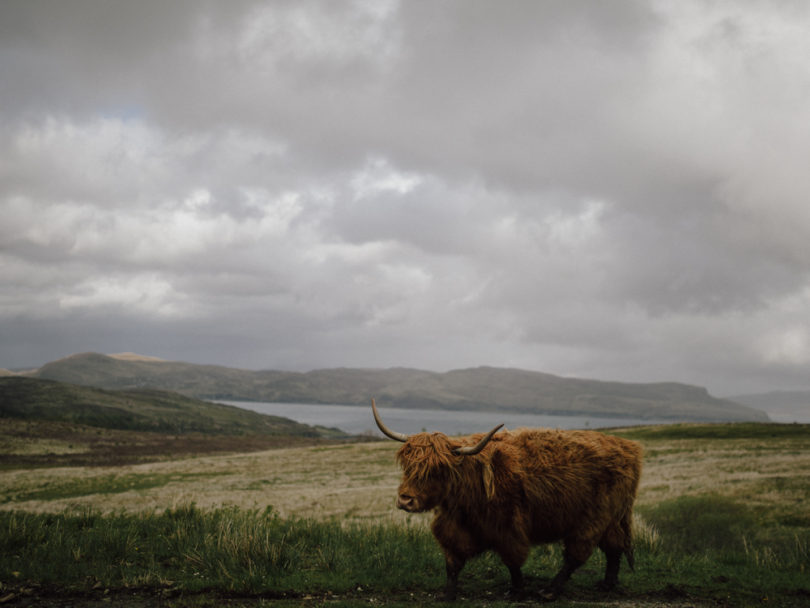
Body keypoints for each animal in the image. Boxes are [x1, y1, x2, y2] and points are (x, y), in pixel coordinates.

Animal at [372, 396, 644, 600]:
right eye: (408, 465)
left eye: (438, 470)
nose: (406, 500)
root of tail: (629, 448)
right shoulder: (453, 528)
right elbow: (453, 563)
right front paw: (448, 594)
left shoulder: (508, 528)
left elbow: (513, 561)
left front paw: (517, 590)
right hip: (611, 518)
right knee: (614, 548)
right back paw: (607, 584)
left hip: (594, 518)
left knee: (577, 554)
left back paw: (549, 591)